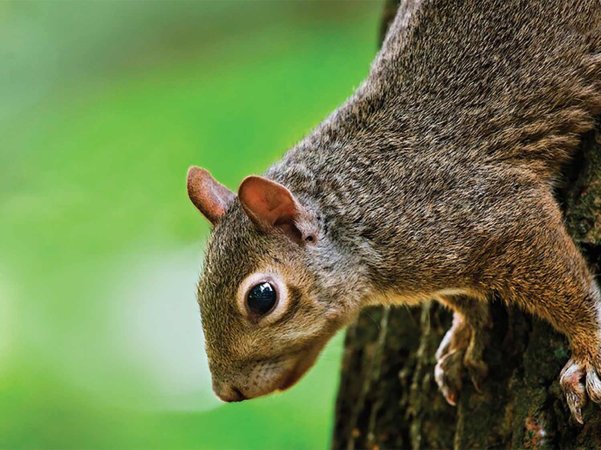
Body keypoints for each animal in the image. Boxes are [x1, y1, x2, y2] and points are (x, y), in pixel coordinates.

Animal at [185, 0, 600, 424]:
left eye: (262, 298)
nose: (226, 391)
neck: (357, 212)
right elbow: (463, 300)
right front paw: (466, 335)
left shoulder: (494, 210)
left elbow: (566, 284)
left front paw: (589, 350)